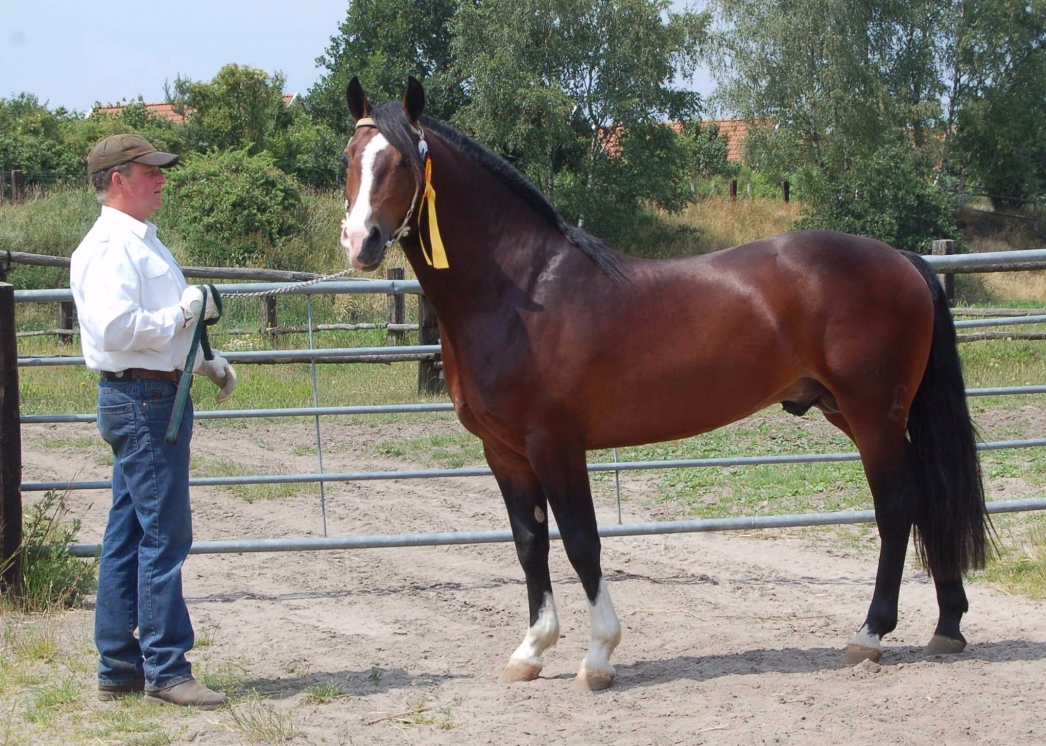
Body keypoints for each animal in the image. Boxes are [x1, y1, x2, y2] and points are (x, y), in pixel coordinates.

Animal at [336, 78, 987, 690]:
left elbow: (581, 541)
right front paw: (530, 651)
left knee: (896, 506)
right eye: (349, 157)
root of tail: (902, 259)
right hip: (849, 412)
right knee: (925, 498)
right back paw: (947, 625)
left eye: (401, 162)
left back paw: (869, 634)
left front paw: (598, 657)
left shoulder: (556, 444)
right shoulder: (504, 452)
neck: (524, 291)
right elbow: (529, 544)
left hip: (873, 414)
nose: (361, 241)